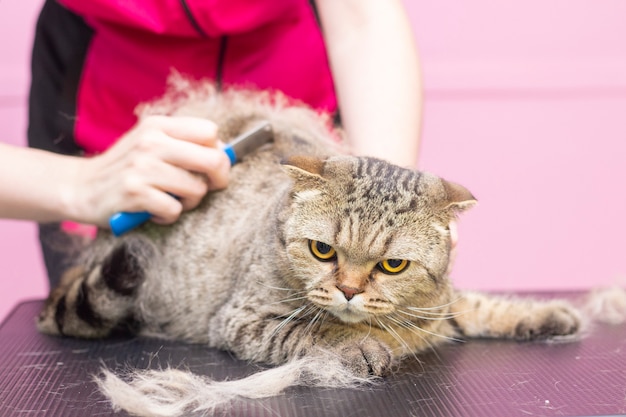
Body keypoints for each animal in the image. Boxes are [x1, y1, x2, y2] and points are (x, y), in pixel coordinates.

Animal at [35, 76, 580, 414]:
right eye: (323, 252)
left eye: (393, 265)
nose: (349, 290)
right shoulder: (244, 319)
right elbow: (315, 330)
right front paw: (358, 344)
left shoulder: (438, 305)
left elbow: (481, 305)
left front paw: (544, 315)